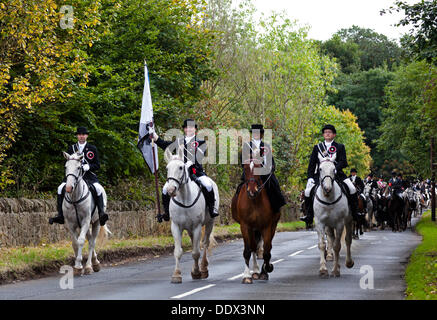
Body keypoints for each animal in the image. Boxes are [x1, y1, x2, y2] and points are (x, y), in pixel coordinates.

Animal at [164, 152, 217, 282]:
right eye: (167, 168)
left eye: (180, 167)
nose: (171, 190)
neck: (184, 198)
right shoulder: (176, 226)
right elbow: (178, 251)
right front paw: (176, 275)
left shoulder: (197, 226)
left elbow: (196, 252)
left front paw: (197, 272)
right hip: (189, 229)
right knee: (195, 243)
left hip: (209, 223)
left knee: (205, 243)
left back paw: (203, 268)